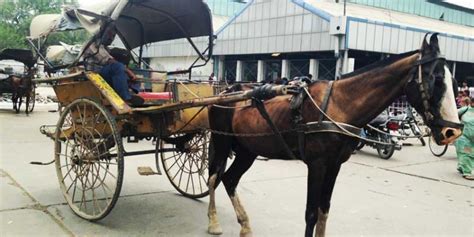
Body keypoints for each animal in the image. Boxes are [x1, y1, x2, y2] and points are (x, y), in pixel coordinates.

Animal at [206, 33, 462, 237]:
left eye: (454, 81)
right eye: (436, 79)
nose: (452, 131)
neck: (339, 106)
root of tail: (228, 91)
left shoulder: (335, 165)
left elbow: (324, 210)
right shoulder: (317, 164)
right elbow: (311, 213)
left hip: (248, 150)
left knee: (229, 179)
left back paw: (245, 225)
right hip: (221, 141)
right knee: (214, 177)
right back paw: (214, 221)